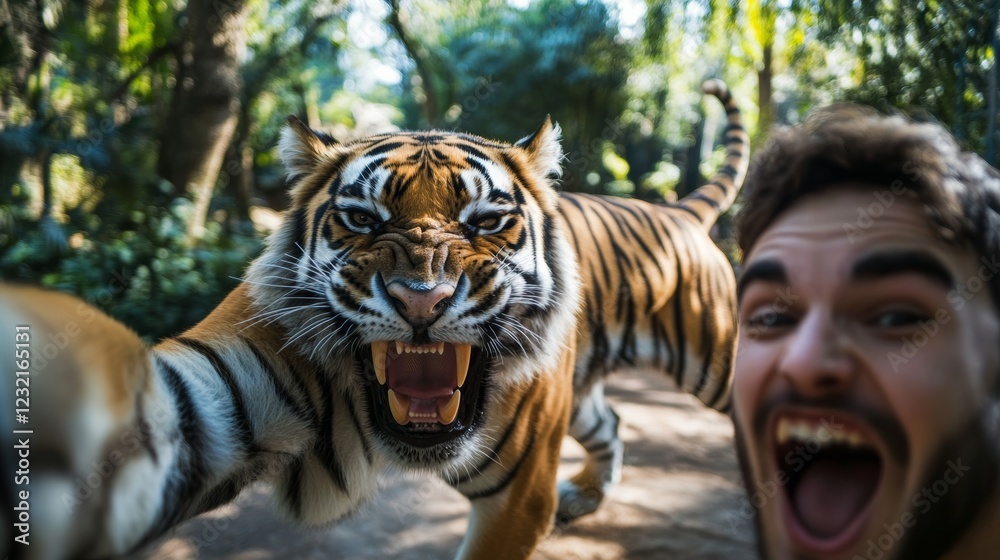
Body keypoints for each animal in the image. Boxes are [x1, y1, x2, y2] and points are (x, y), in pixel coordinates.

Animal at [0, 79, 746, 560]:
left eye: (487, 221)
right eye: (362, 218)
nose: (421, 299)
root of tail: (676, 210)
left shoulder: (516, 500)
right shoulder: (212, 397)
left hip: (720, 360)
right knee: (612, 421)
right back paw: (587, 496)